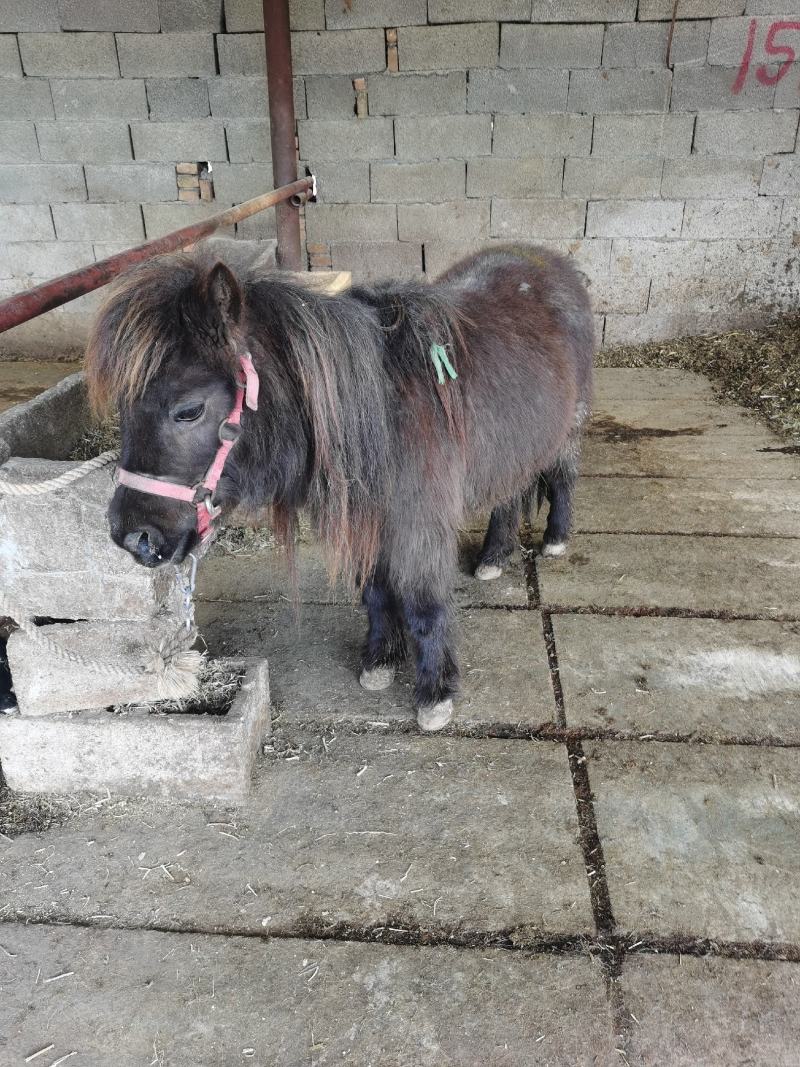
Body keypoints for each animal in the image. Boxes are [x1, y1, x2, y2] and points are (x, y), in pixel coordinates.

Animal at [85, 243, 594, 732]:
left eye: (188, 410)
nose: (132, 536)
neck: (382, 414)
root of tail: (555, 266)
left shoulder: (418, 527)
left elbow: (425, 605)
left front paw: (435, 693)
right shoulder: (366, 521)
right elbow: (376, 592)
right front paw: (380, 661)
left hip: (567, 432)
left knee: (562, 479)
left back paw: (555, 539)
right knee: (508, 497)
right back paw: (493, 557)